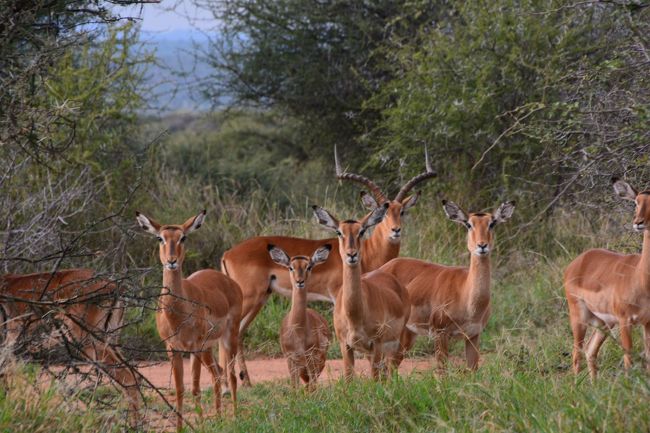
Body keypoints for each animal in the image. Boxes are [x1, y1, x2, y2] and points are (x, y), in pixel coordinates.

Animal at [135, 210, 242, 432]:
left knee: (231, 375)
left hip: (228, 337)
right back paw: (219, 418)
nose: (172, 260)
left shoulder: (194, 347)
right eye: (160, 238)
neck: (178, 314)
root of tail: (230, 282)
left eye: (183, 237)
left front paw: (200, 426)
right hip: (209, 348)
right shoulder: (173, 348)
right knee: (217, 374)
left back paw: (235, 418)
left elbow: (195, 388)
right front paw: (180, 428)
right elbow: (180, 389)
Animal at [268, 243, 332, 388]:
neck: (298, 330)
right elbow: (295, 388)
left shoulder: (311, 358)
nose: (299, 281)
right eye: (291, 267)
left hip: (318, 362)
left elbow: (312, 387)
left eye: (309, 266)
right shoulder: (291, 359)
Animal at [564, 177, 648, 376]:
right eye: (636, 202)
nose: (638, 222)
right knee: (576, 354)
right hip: (579, 317)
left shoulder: (647, 322)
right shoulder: (625, 321)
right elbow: (628, 359)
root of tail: (579, 260)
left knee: (590, 351)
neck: (639, 276)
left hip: (603, 323)